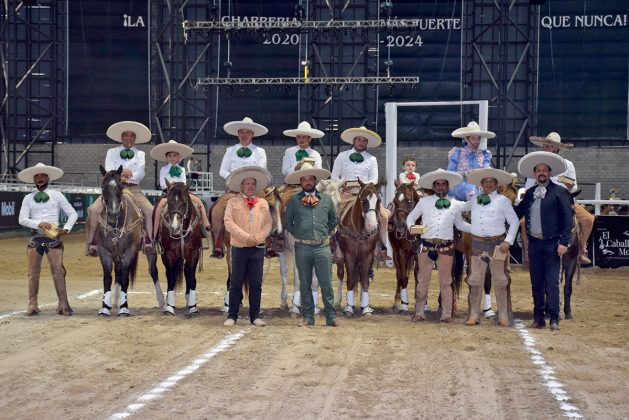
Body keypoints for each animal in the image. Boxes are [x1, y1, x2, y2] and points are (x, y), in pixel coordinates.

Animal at [95, 166, 163, 316]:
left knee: (153, 271)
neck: (117, 225)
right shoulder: (105, 251)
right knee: (118, 272)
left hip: (150, 252)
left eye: (120, 187)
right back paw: (115, 300)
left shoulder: (130, 251)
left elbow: (125, 278)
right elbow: (108, 278)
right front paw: (105, 307)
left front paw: (124, 307)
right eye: (103, 187)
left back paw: (162, 300)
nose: (113, 214)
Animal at [157, 180, 204, 316]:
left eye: (184, 203)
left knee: (187, 273)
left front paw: (193, 306)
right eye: (169, 202)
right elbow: (171, 278)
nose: (174, 227)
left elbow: (191, 277)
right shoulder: (168, 254)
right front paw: (169, 306)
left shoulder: (194, 254)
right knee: (169, 274)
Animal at [336, 180, 380, 316]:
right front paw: (349, 308)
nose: (372, 226)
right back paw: (338, 302)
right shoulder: (349, 256)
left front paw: (365, 308)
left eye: (379, 200)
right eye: (364, 201)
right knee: (341, 274)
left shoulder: (368, 256)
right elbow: (350, 280)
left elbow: (365, 281)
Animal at [388, 182, 422, 314]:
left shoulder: (418, 252)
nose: (399, 226)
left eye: (409, 200)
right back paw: (397, 301)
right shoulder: (401, 252)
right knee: (399, 274)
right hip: (396, 254)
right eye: (395, 201)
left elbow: (419, 276)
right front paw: (403, 305)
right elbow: (403, 278)